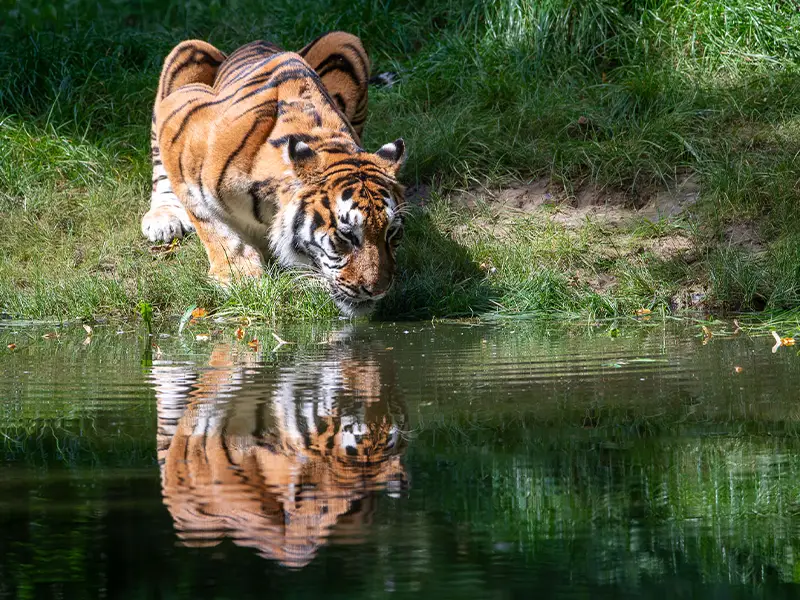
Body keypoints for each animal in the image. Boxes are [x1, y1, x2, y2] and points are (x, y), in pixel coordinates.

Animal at [140, 32, 406, 316]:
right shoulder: (180, 116)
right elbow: (212, 224)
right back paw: (163, 219)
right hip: (187, 51)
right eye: (346, 235)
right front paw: (239, 277)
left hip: (344, 41)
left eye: (392, 233)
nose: (377, 290)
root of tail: (256, 42)